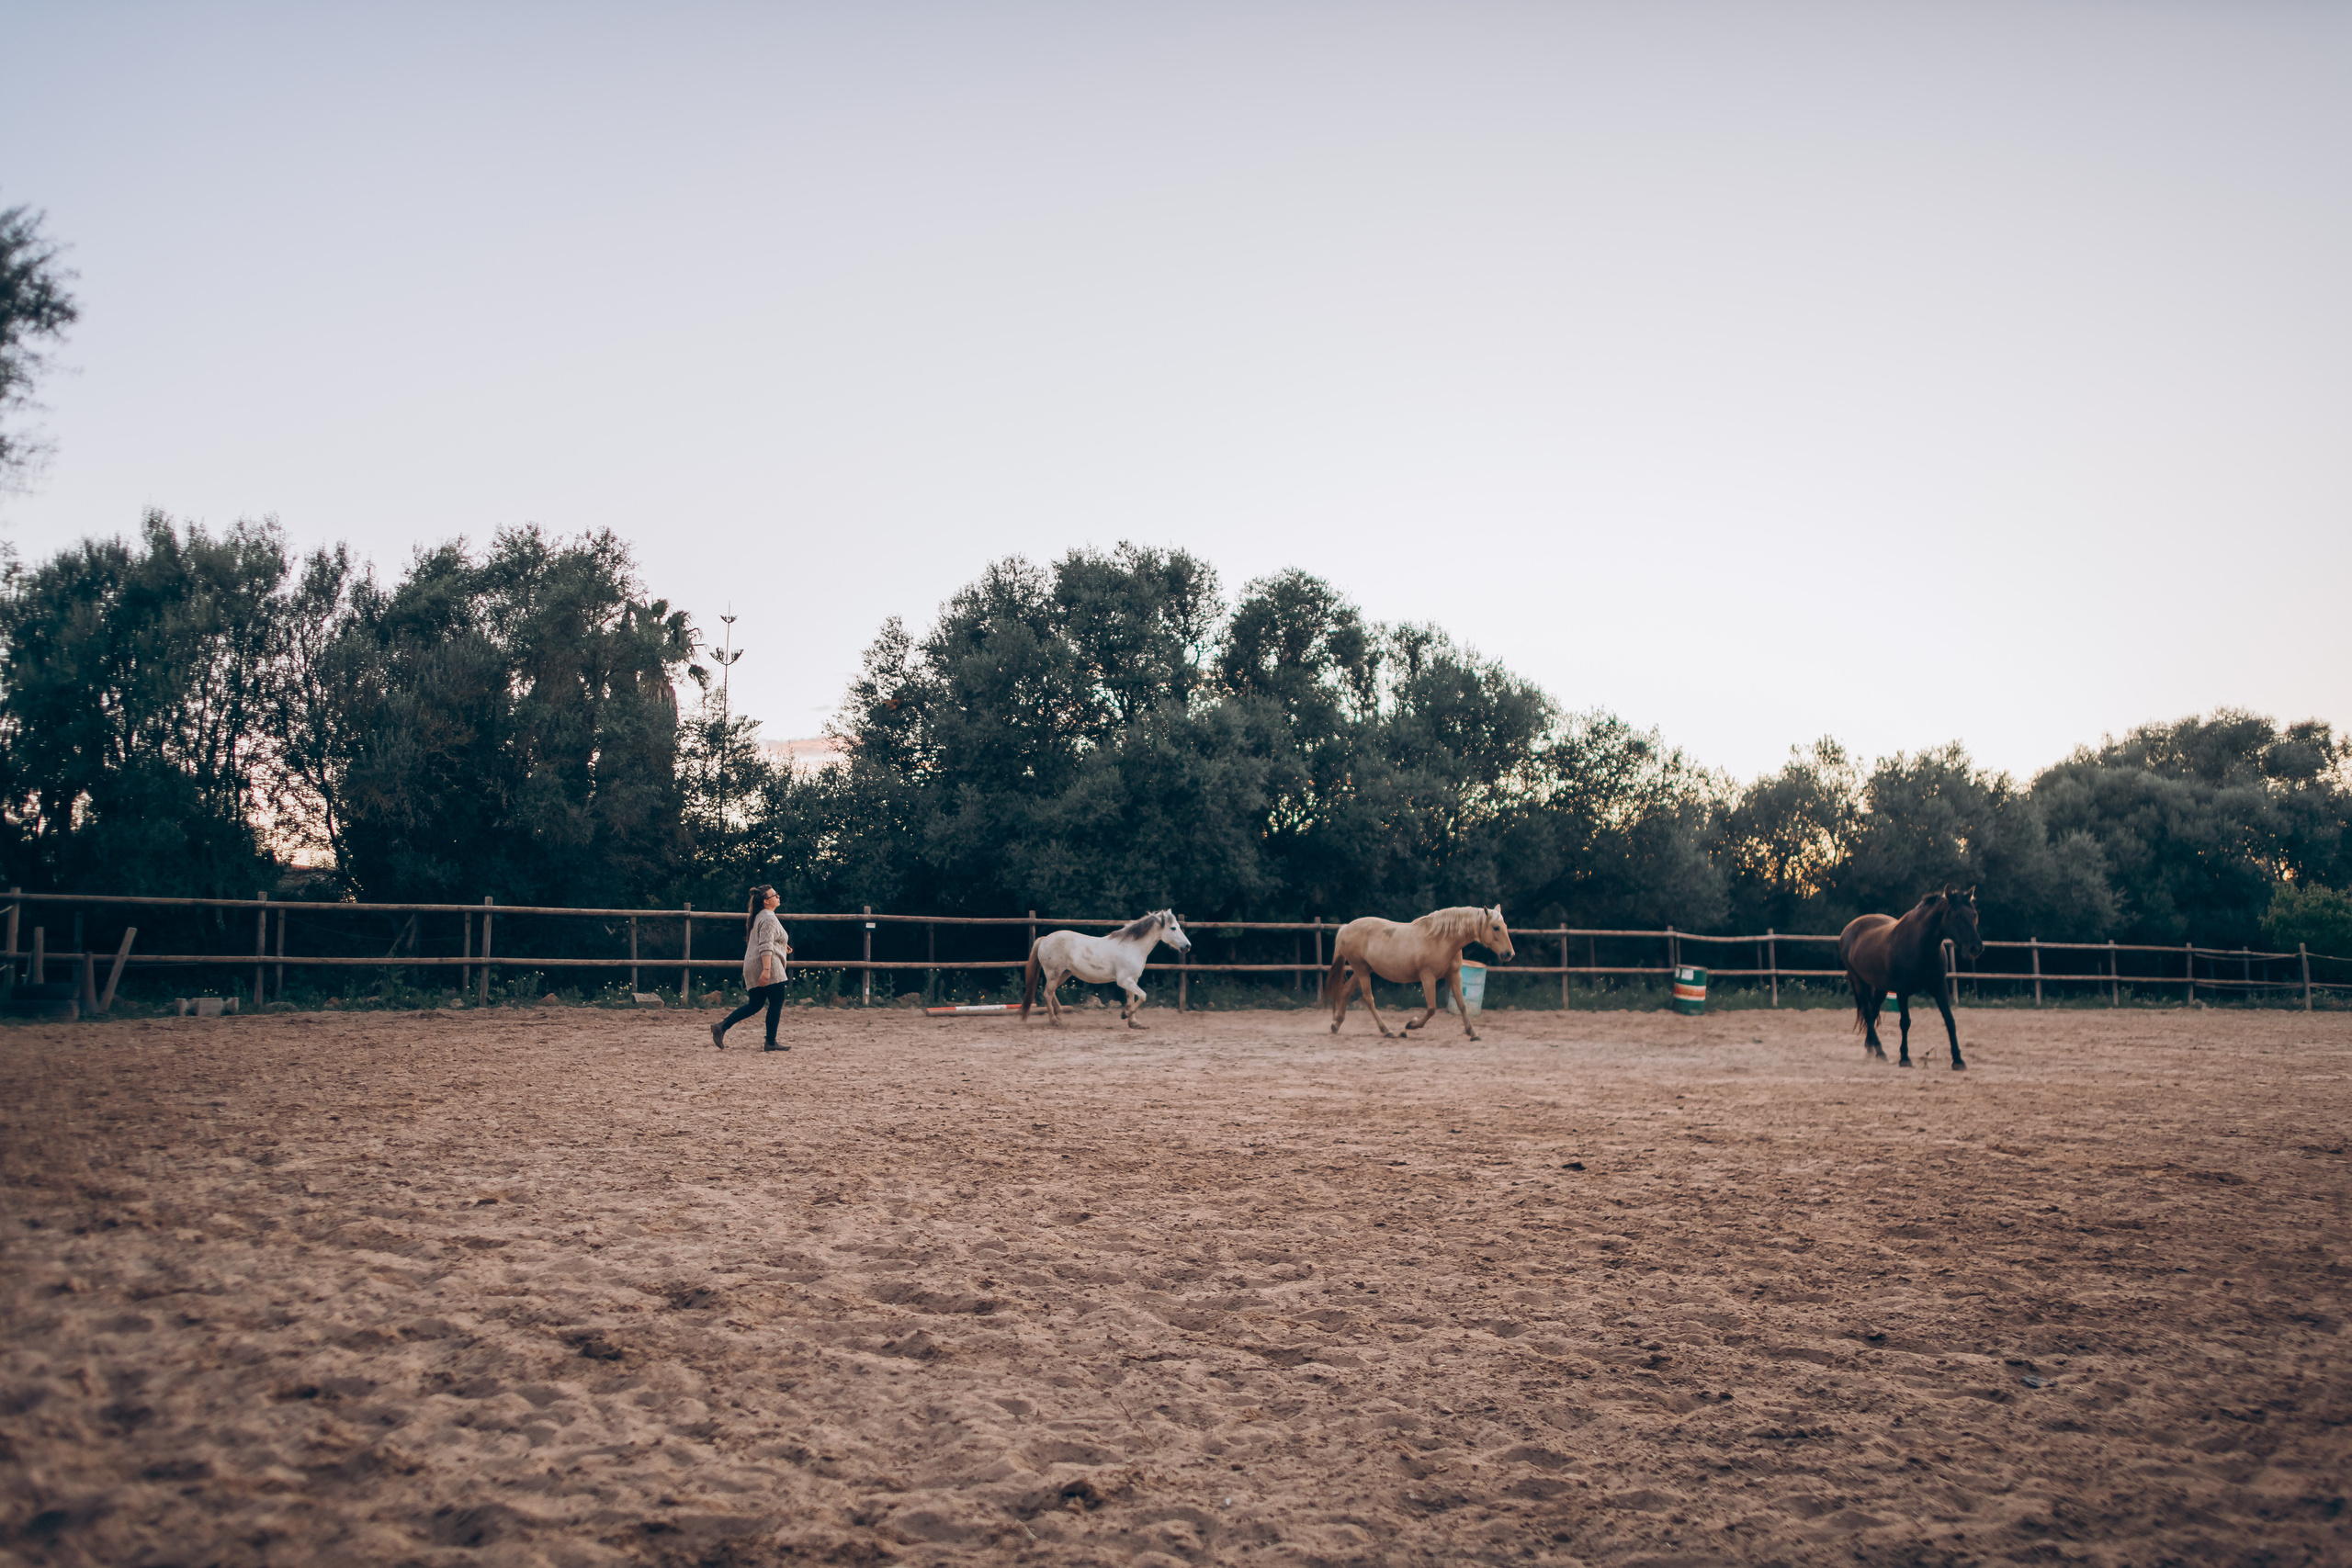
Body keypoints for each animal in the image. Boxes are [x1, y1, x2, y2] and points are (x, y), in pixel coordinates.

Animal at [1020, 910, 1192, 1028]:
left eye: (1178, 927)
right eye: (1173, 928)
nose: (1187, 946)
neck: (1132, 947)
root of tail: (1044, 939)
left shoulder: (1132, 980)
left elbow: (1132, 999)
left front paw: (1134, 1023)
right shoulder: (1125, 981)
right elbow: (1143, 996)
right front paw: (1124, 1015)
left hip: (1064, 974)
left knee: (1051, 992)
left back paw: (1060, 1015)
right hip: (1054, 973)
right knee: (1047, 993)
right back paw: (1054, 1021)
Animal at [1323, 906, 1515, 1041]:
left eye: (1505, 926)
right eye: (1496, 927)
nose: (1509, 954)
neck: (1443, 940)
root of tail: (1345, 928)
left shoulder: (1454, 975)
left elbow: (1462, 1005)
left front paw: (1473, 1033)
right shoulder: (1427, 978)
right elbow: (1431, 1008)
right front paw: (1410, 1025)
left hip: (1364, 970)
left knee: (1346, 990)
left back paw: (1336, 1025)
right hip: (1362, 971)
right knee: (1369, 999)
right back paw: (1387, 1031)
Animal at [1840, 886, 1985, 1070]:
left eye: (1974, 914)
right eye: (1957, 915)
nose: (1976, 948)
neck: (1922, 946)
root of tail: (1849, 928)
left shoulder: (1939, 987)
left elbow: (1950, 1021)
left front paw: (1958, 1060)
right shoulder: (1902, 991)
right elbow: (1905, 1022)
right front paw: (1904, 1058)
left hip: (1880, 987)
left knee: (1872, 1012)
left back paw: (1871, 1049)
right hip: (1858, 982)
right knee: (1867, 1012)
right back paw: (1880, 1051)